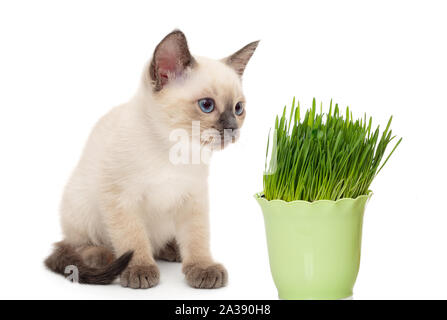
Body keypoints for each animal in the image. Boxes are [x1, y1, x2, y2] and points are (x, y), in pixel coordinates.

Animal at [44, 30, 260, 290]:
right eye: (207, 105)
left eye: (238, 109)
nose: (232, 129)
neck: (172, 152)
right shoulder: (121, 199)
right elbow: (133, 238)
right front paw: (140, 269)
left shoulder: (193, 197)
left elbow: (197, 237)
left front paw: (202, 267)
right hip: (80, 206)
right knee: (76, 245)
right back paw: (103, 256)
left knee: (158, 244)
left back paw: (172, 250)